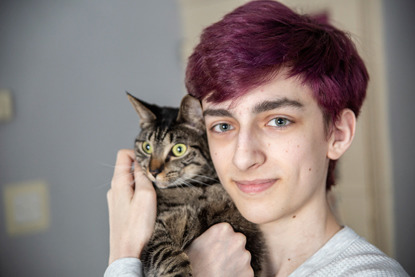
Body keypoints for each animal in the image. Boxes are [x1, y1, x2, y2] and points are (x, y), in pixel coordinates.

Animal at [127, 92, 264, 276]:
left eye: (179, 149)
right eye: (146, 147)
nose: (153, 171)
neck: (199, 187)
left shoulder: (242, 224)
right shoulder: (157, 229)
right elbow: (166, 252)